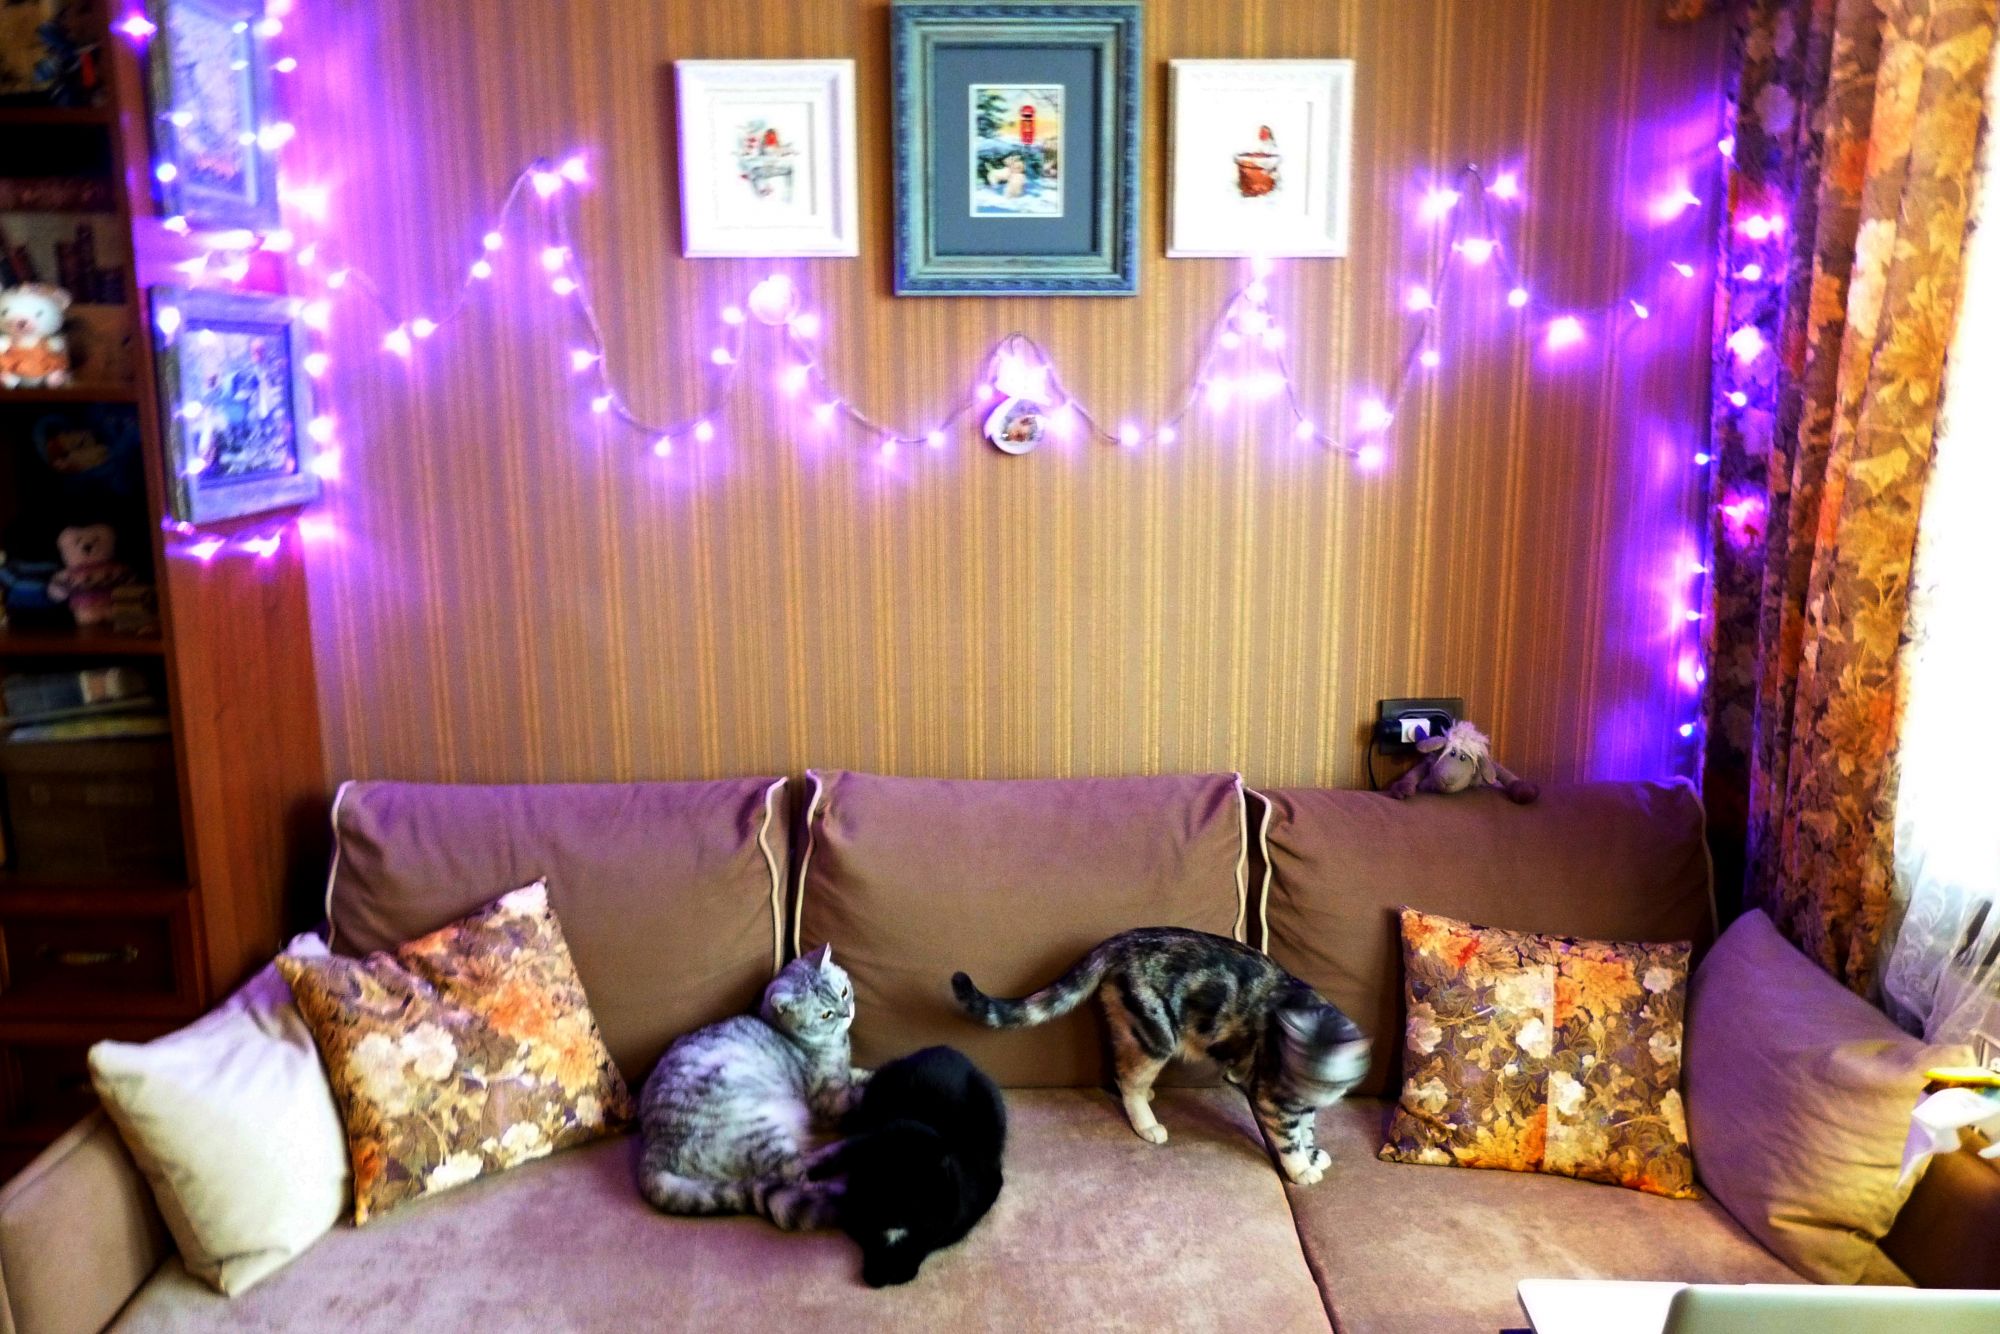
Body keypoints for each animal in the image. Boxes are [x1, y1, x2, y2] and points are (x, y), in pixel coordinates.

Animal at [637, 944, 862, 1228]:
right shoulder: (831, 1098)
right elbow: (861, 1092)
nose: (848, 1013)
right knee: (798, 1181)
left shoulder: (846, 1075)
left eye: (844, 992)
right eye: (825, 1014)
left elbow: (863, 1074)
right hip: (764, 1133)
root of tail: (652, 1151)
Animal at [805, 1045, 1007, 1288]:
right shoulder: (855, 1208)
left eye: (917, 1190)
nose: (896, 1210)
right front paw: (878, 1271)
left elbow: (926, 1240)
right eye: (883, 1185)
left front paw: (899, 1268)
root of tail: (946, 1048)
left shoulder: (962, 1210)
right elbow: (868, 1236)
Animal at [952, 927, 1370, 1185]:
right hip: (1156, 1032)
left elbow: (1306, 1129)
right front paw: (1301, 1168)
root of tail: (1123, 938)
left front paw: (1313, 1153)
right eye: (1291, 1070)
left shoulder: (1299, 1103)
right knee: (1128, 1081)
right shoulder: (1270, 1095)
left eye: (1325, 1081)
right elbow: (1288, 1138)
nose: (1303, 1094)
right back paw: (1147, 1123)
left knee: (1122, 1068)